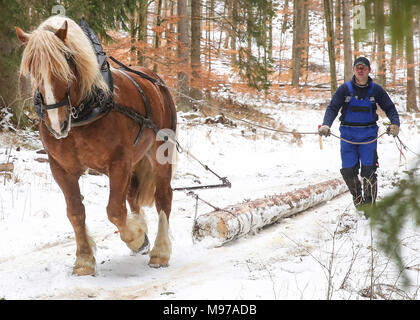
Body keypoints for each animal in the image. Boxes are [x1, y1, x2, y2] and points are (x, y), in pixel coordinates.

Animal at [14, 15, 176, 276]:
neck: (85, 111)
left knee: (163, 197)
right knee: (132, 195)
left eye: (66, 61)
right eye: (31, 68)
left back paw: (159, 251)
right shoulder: (61, 169)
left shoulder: (119, 162)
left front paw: (135, 237)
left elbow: (114, 210)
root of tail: (157, 82)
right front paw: (83, 260)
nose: (57, 124)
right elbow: (75, 212)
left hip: (160, 153)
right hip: (134, 161)